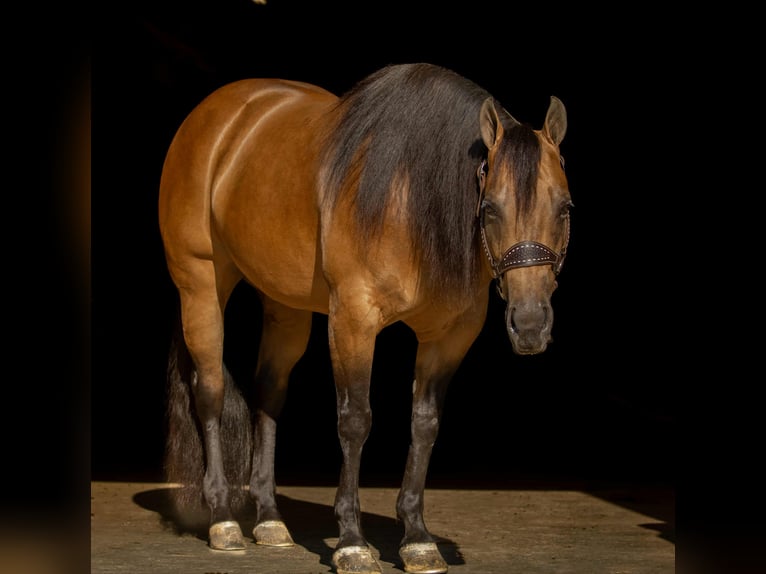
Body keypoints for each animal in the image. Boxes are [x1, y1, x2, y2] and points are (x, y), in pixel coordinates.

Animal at [158, 62, 572, 574]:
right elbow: (356, 420)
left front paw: (417, 538)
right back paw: (223, 519)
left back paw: (270, 520)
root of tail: (215, 117)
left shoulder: (448, 337)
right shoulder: (353, 320)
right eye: (490, 208)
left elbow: (424, 423)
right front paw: (352, 542)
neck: (409, 197)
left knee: (268, 395)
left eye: (566, 208)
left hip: (285, 308)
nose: (530, 325)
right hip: (200, 284)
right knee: (210, 392)